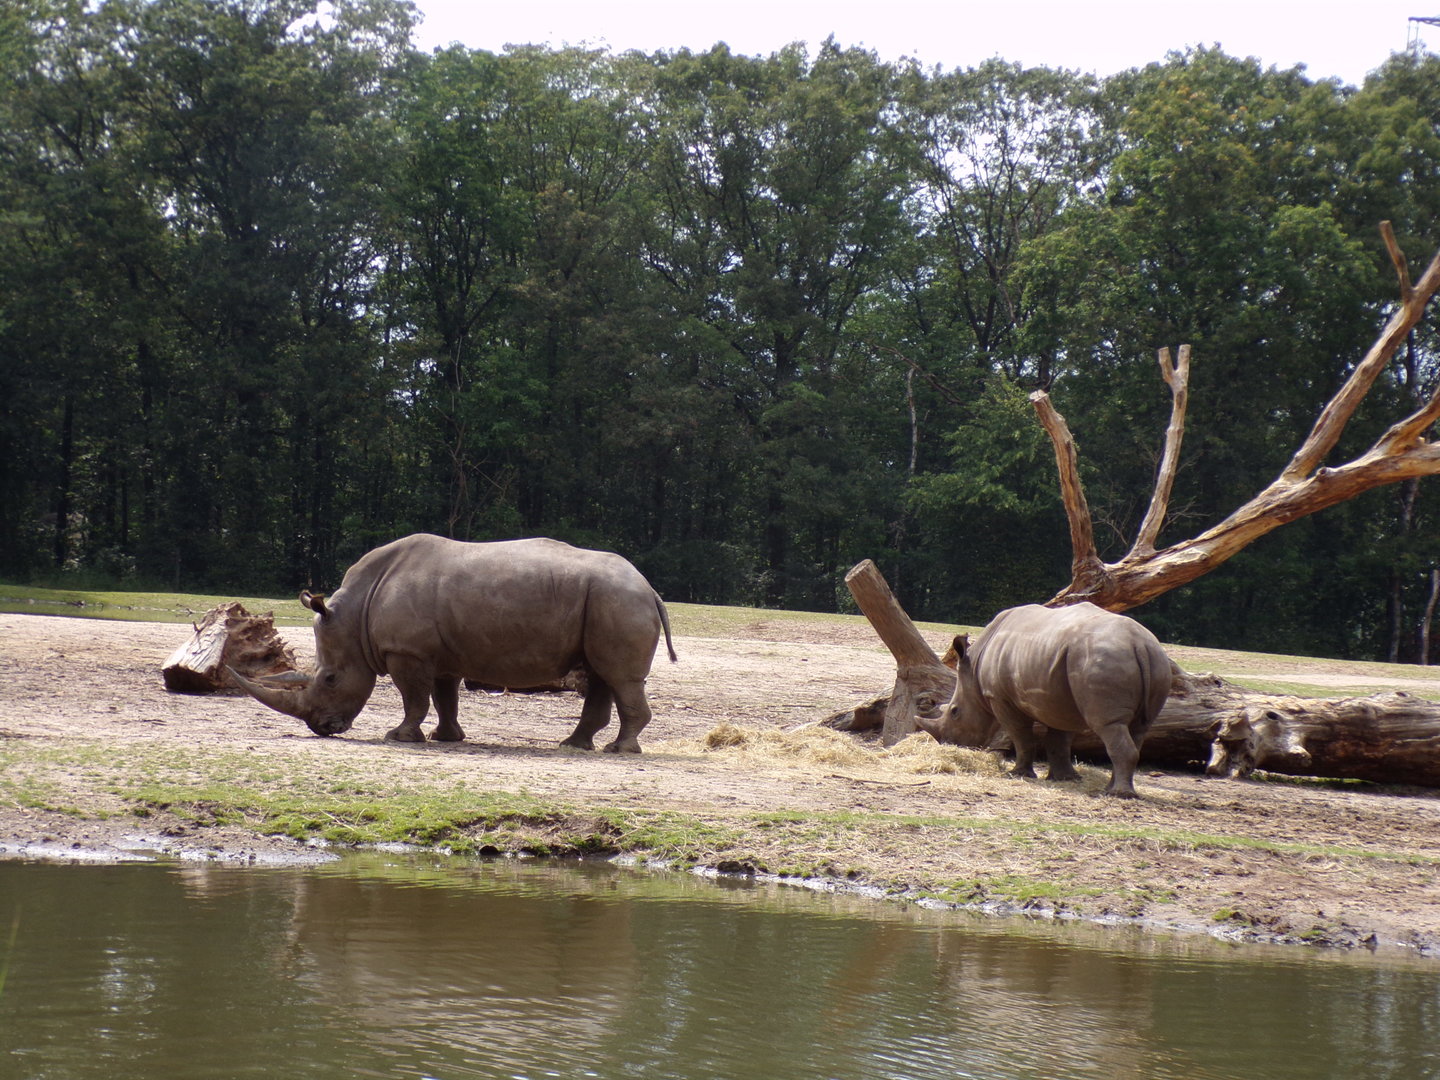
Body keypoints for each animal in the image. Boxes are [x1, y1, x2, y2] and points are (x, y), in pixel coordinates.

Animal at [231, 534, 676, 753]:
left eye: (329, 679)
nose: (320, 728)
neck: (356, 612)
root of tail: (650, 588)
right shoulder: (437, 652)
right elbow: (444, 696)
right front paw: (447, 738)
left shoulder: (405, 651)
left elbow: (414, 697)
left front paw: (399, 737)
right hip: (608, 601)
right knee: (601, 673)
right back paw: (574, 745)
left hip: (619, 600)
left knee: (619, 677)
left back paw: (620, 750)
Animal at [914, 603, 1171, 798]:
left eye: (954, 711)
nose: (950, 746)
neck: (974, 666)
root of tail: (1139, 644)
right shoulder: (1060, 698)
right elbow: (1059, 738)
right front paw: (1064, 779)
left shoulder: (1000, 697)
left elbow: (1021, 735)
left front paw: (1017, 774)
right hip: (1154, 662)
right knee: (1139, 728)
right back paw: (1112, 789)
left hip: (1103, 659)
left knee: (1108, 725)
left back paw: (1118, 794)